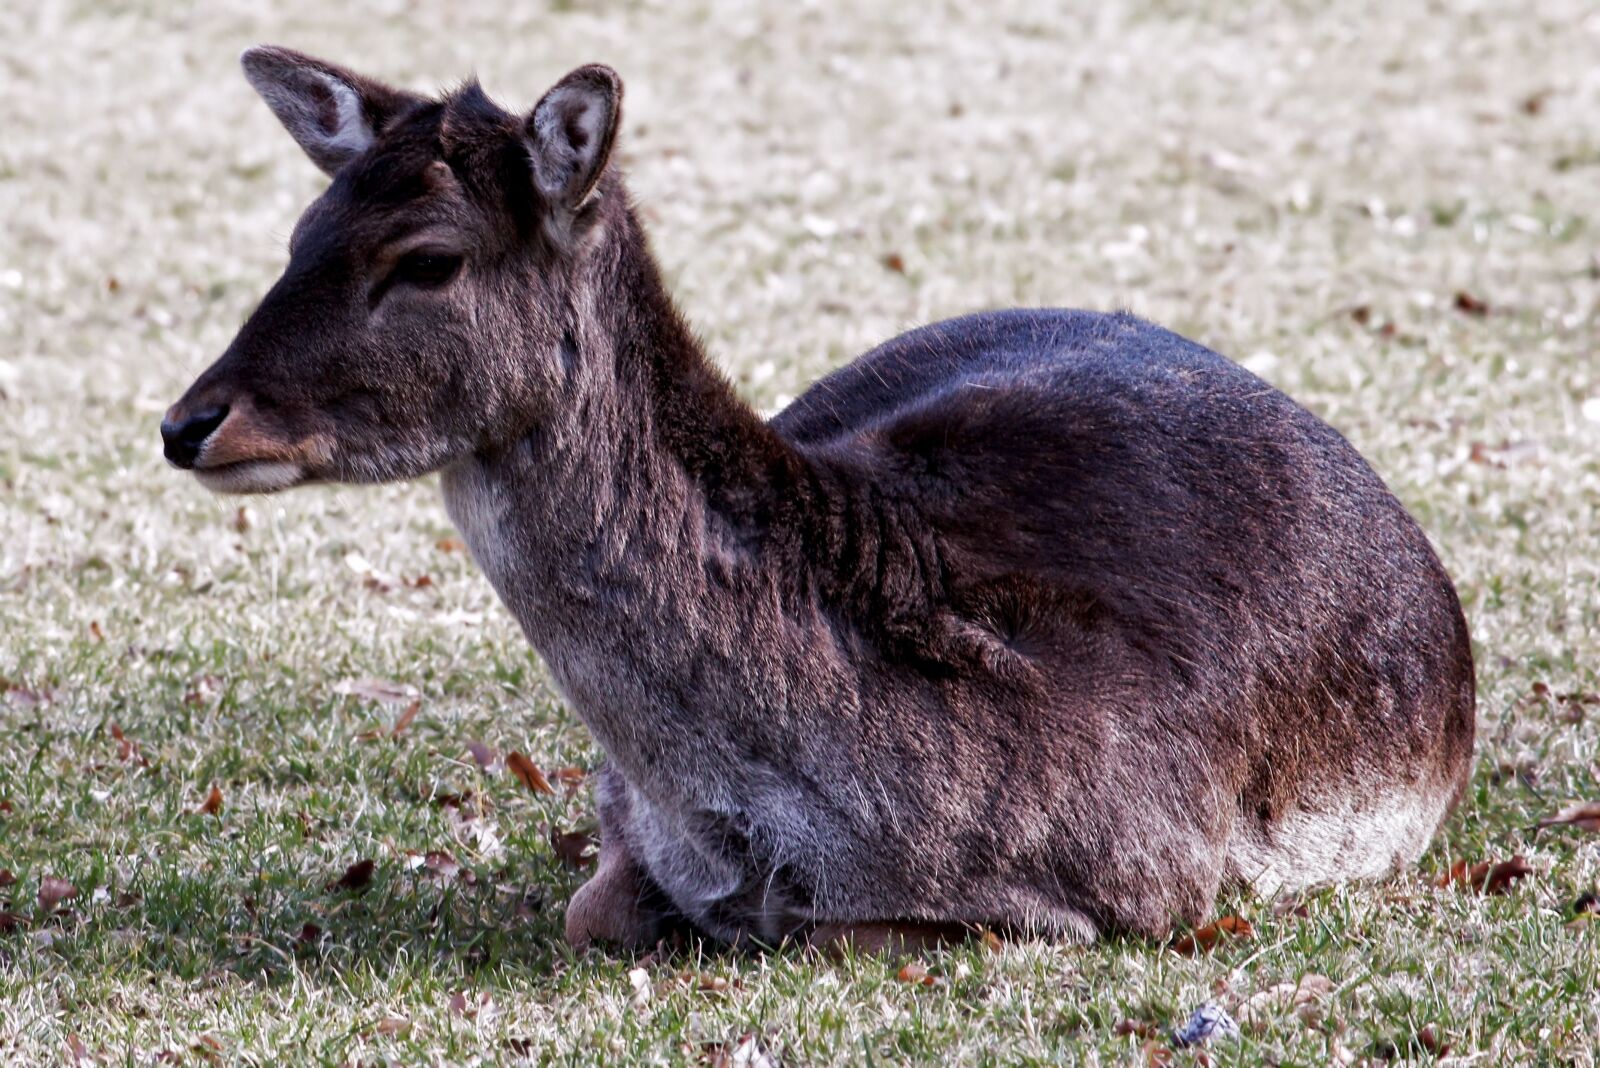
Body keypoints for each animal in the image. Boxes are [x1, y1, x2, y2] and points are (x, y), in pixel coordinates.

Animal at [162, 47, 1476, 953]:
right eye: (302, 230)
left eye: (427, 258)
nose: (189, 421)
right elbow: (599, 910)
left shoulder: (1151, 881)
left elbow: (841, 930)